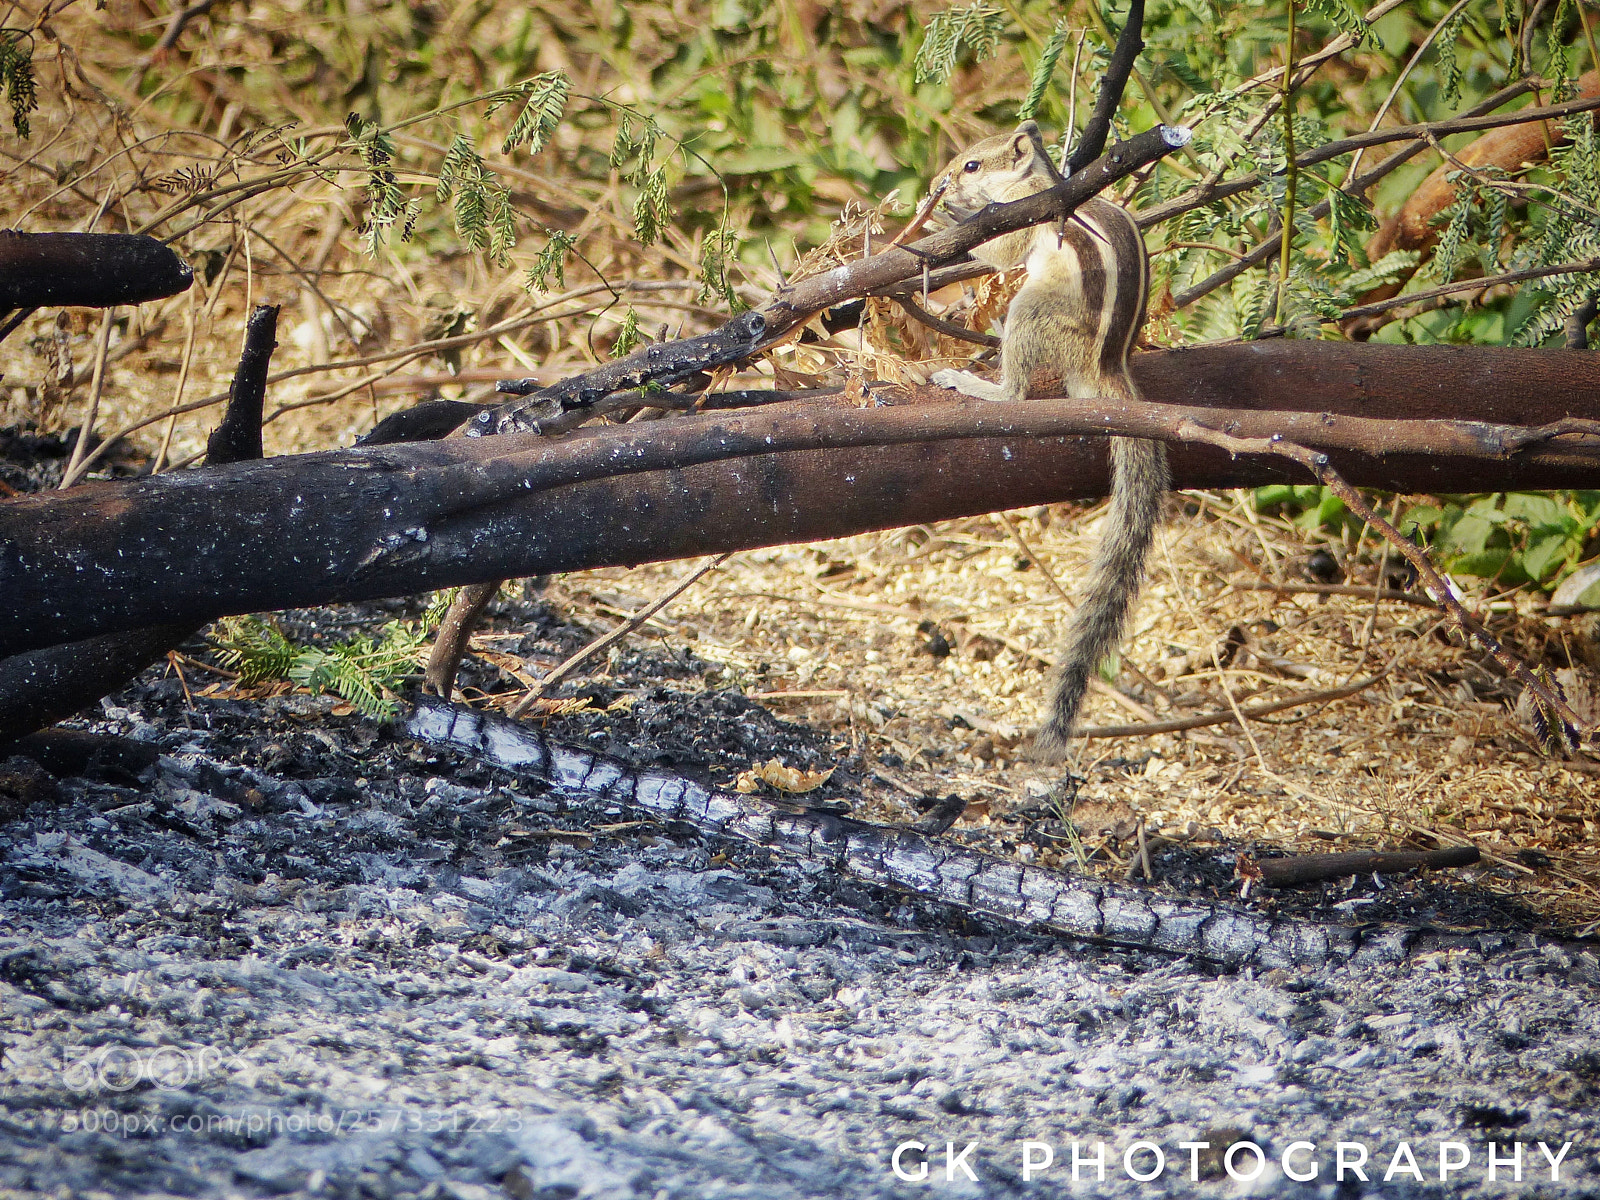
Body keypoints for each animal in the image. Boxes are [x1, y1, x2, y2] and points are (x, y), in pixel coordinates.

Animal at [929, 120, 1169, 759]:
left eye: (972, 165)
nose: (937, 185)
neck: (1037, 182)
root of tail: (1103, 370)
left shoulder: (1023, 224)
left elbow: (997, 252)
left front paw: (949, 220)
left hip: (1032, 311)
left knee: (1015, 393)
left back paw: (977, 383)